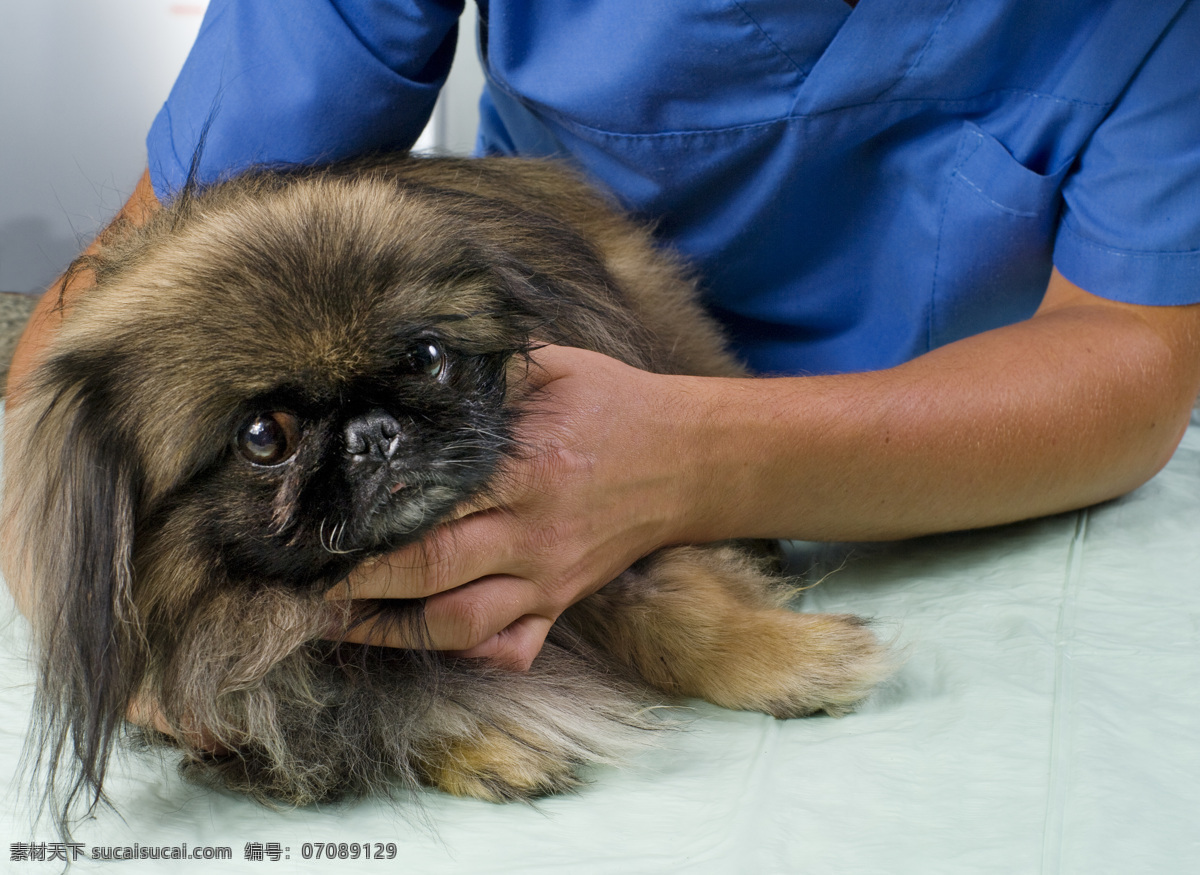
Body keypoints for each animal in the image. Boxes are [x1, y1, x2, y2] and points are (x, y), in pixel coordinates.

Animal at [2, 151, 892, 825]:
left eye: (426, 357)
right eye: (264, 438)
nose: (373, 432)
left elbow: (680, 614)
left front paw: (794, 658)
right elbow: (363, 714)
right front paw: (486, 740)